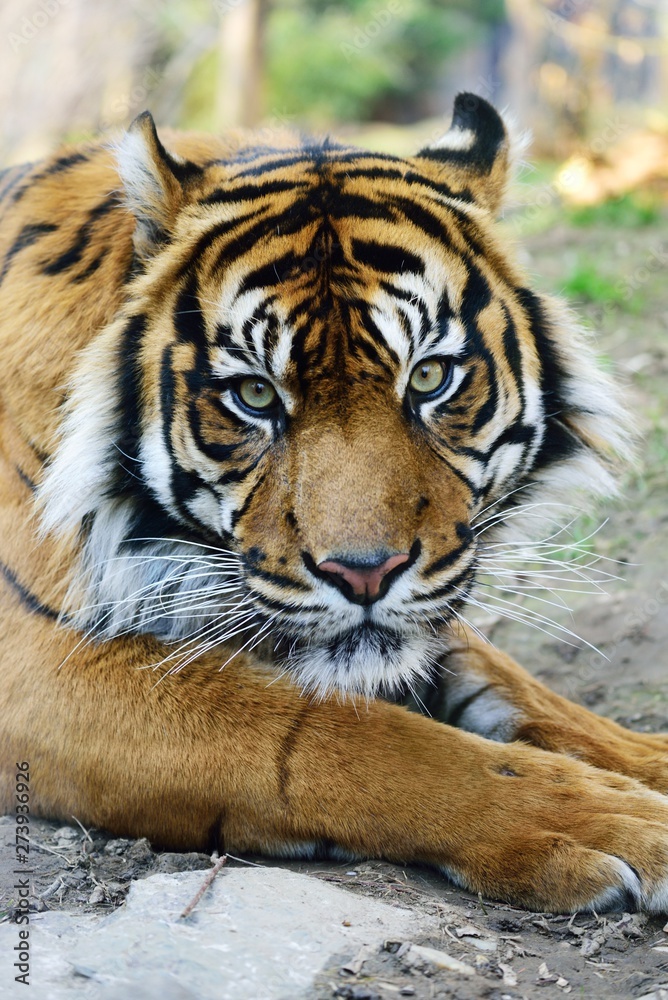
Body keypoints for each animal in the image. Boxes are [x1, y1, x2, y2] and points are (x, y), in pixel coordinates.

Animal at [1, 92, 668, 915]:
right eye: (255, 394)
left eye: (430, 377)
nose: (364, 574)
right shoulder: (37, 660)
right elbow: (344, 737)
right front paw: (608, 817)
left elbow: (522, 688)